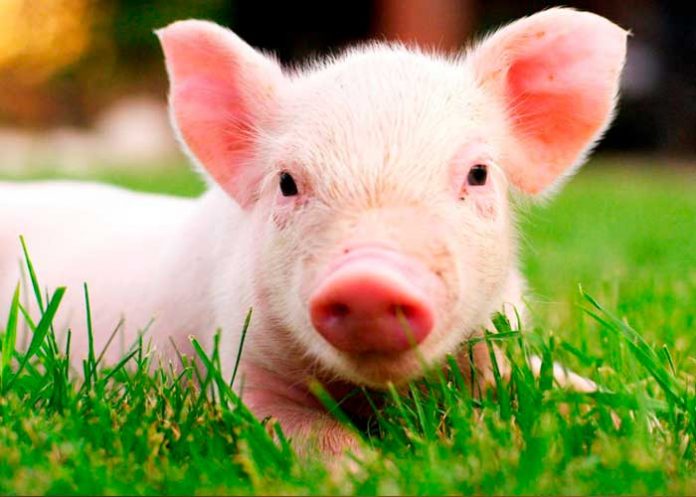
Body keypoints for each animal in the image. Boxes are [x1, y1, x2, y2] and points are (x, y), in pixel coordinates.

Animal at [0, 8, 626, 454]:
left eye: (478, 174)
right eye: (286, 182)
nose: (371, 278)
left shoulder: (496, 342)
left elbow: (562, 385)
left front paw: (624, 415)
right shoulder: (239, 367)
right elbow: (305, 434)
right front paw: (370, 470)